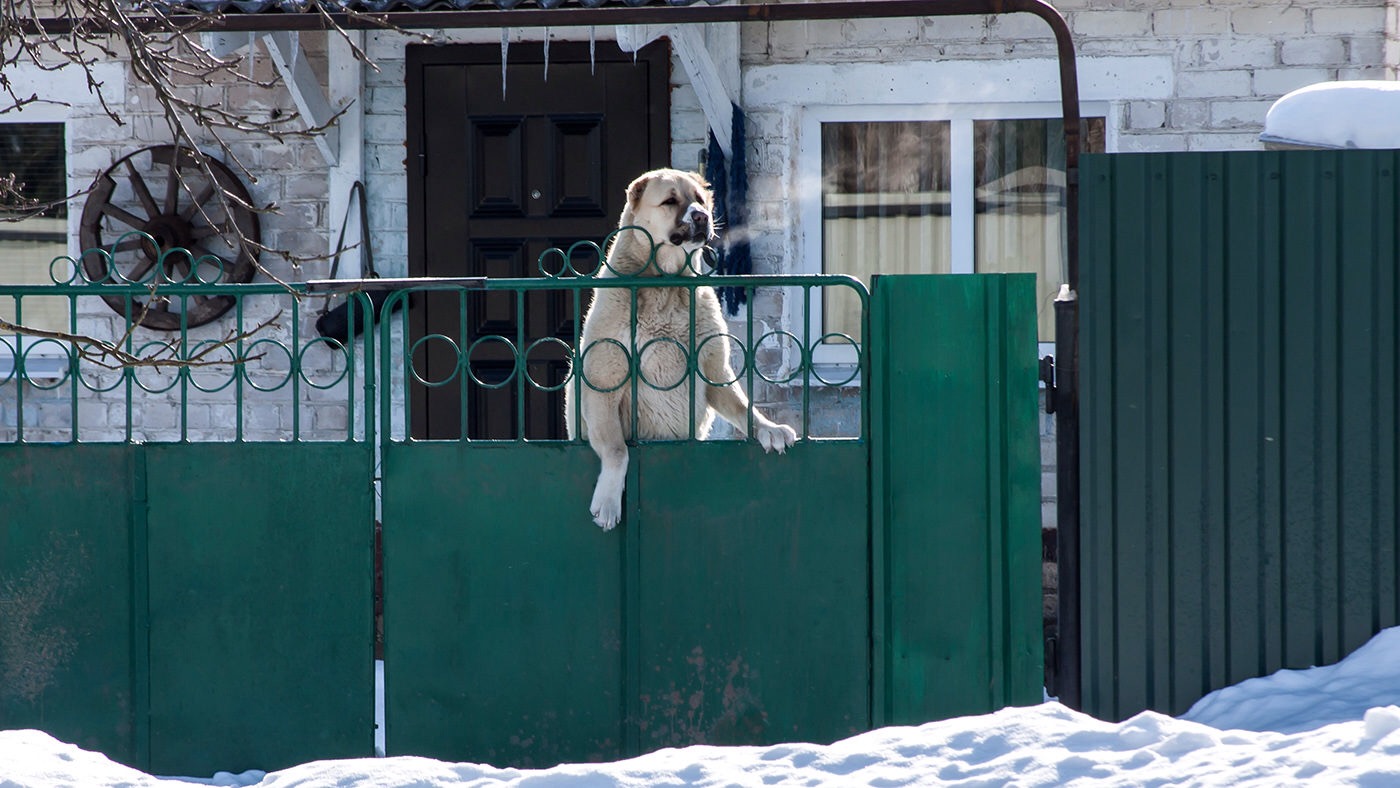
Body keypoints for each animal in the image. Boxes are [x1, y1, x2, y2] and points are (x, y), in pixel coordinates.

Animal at [560, 170, 800, 534]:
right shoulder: (603, 384)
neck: (666, 284)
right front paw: (608, 502)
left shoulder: (713, 369)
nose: (701, 217)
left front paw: (769, 430)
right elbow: (617, 450)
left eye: (699, 200)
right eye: (670, 201)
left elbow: (742, 405)